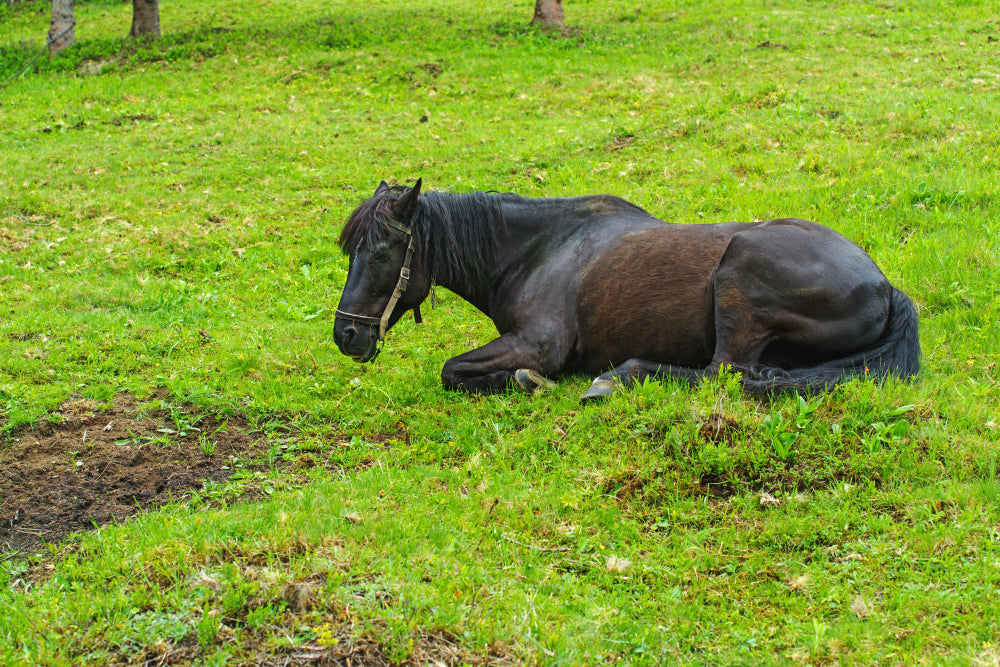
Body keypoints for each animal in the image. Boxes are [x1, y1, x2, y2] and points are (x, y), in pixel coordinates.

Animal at [333, 179, 920, 401]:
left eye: (381, 255)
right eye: (349, 252)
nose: (346, 336)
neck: (539, 249)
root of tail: (886, 288)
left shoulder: (539, 344)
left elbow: (452, 370)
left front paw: (525, 381)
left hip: (739, 280)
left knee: (721, 373)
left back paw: (614, 379)